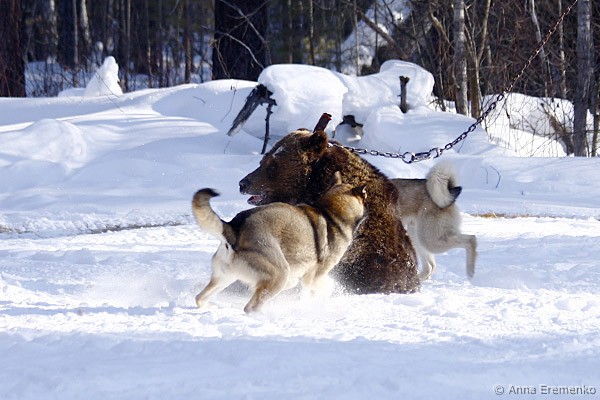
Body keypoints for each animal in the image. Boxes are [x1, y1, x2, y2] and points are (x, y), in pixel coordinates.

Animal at [192, 172, 366, 313]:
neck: (331, 214)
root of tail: (235, 227)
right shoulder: (315, 275)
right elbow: (316, 290)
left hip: (226, 277)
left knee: (199, 297)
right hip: (279, 273)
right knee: (250, 308)